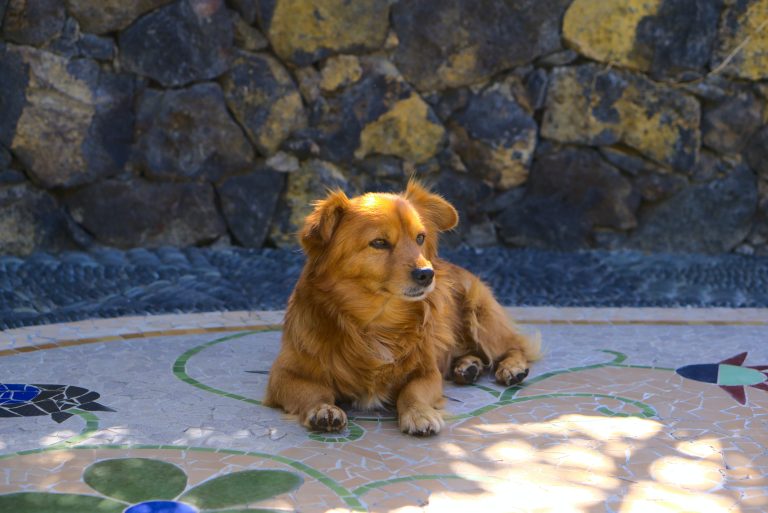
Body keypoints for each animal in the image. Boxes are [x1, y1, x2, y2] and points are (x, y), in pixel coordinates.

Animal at [264, 180, 540, 436]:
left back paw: (511, 368)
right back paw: (467, 367)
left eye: (420, 238)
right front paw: (323, 409)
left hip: (480, 315)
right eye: (379, 242)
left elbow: (412, 391)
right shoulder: (283, 375)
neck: (376, 322)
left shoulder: (427, 373)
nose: (427, 273)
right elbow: (313, 391)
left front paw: (419, 414)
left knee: (512, 346)